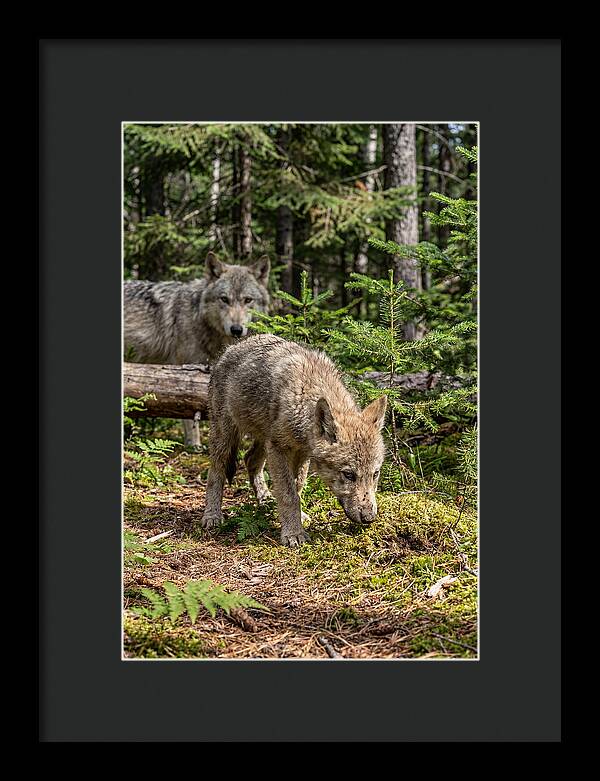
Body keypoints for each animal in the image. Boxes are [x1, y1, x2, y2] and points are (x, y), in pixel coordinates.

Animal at [123, 252, 271, 447]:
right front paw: (194, 446)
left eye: (248, 300)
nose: (236, 329)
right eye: (224, 299)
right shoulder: (185, 372)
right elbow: (189, 414)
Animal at [200, 334, 387, 547]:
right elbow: (288, 494)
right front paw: (293, 534)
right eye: (349, 475)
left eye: (375, 474)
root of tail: (229, 349)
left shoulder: (302, 453)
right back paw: (212, 515)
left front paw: (298, 518)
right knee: (216, 471)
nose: (369, 517)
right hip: (226, 436)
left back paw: (265, 500)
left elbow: (297, 487)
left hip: (264, 440)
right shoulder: (279, 449)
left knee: (250, 460)